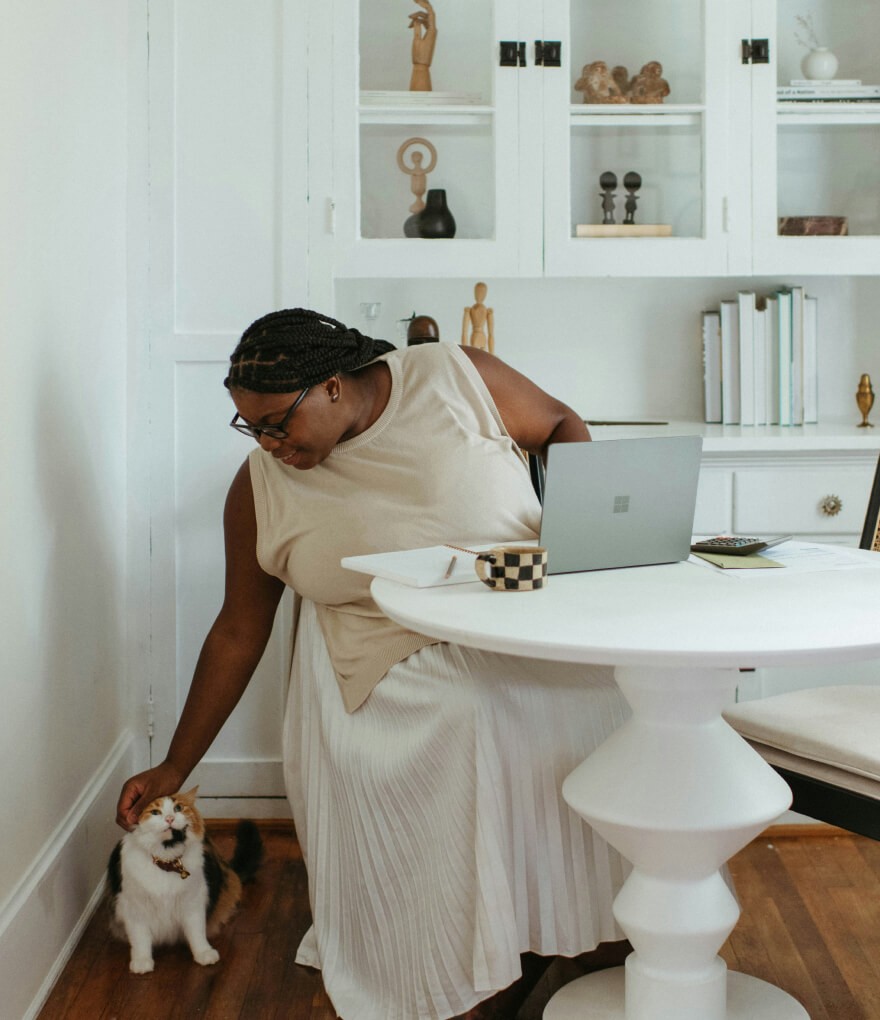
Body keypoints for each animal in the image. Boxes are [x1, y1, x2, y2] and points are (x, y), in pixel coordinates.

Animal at [106, 787, 261, 971]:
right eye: (155, 812)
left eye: (178, 808)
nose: (170, 818)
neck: (167, 862)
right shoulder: (134, 907)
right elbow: (140, 938)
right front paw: (142, 962)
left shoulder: (193, 901)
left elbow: (197, 932)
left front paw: (204, 953)